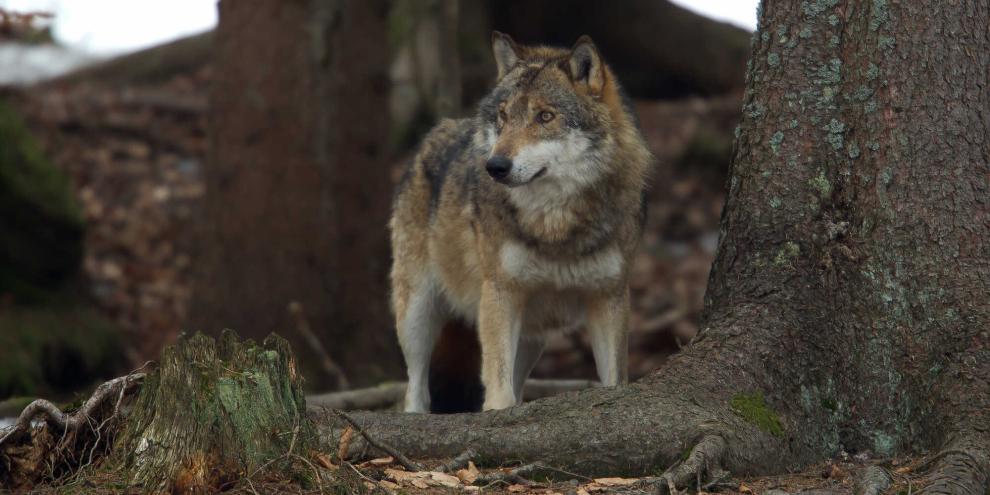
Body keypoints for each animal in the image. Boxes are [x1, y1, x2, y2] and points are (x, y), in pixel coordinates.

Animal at [390, 31, 652, 412]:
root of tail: (438, 131)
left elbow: (615, 380)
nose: (495, 166)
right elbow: (498, 392)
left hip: (531, 335)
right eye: (503, 116)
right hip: (418, 314)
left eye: (545, 116)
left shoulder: (610, 297)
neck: (555, 224)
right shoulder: (501, 292)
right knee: (415, 389)